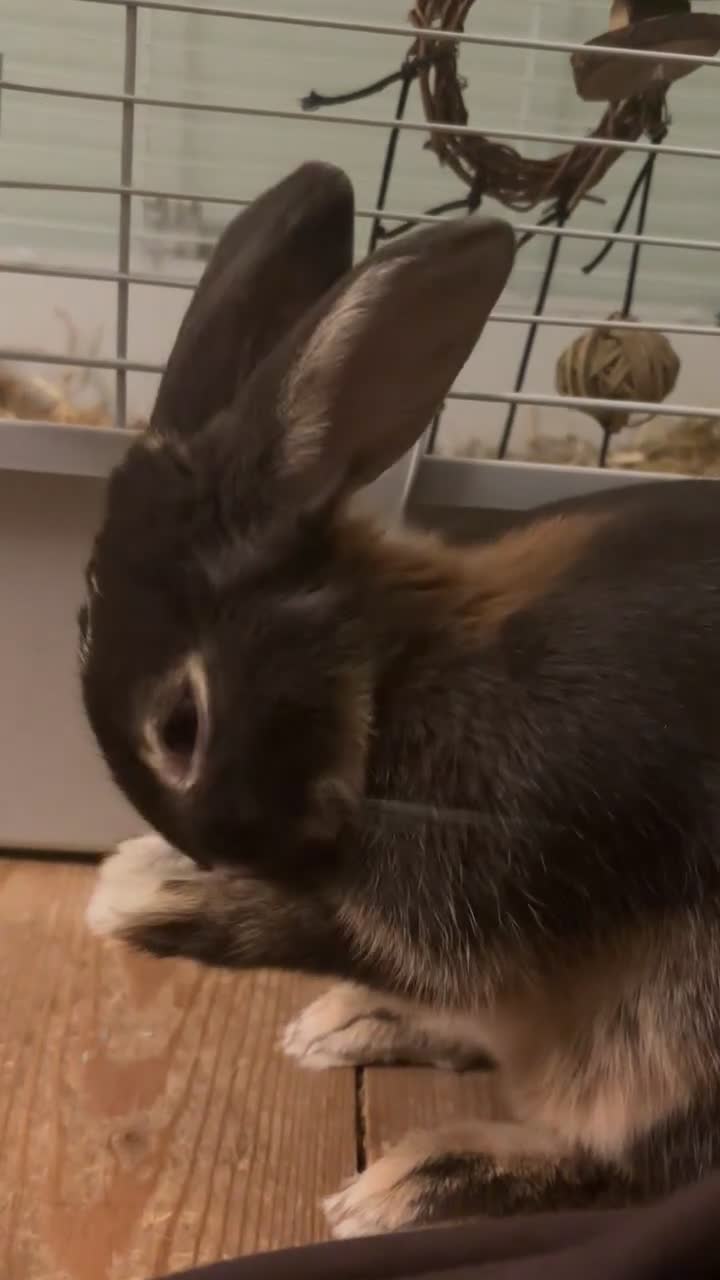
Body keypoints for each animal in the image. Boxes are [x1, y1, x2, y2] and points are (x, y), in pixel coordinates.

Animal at [81, 159, 720, 1239]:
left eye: (181, 726)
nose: (215, 847)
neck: (391, 676)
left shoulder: (478, 877)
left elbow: (332, 921)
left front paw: (140, 891)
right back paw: (353, 1024)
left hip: (677, 1033)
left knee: (632, 1162)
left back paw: (420, 1179)